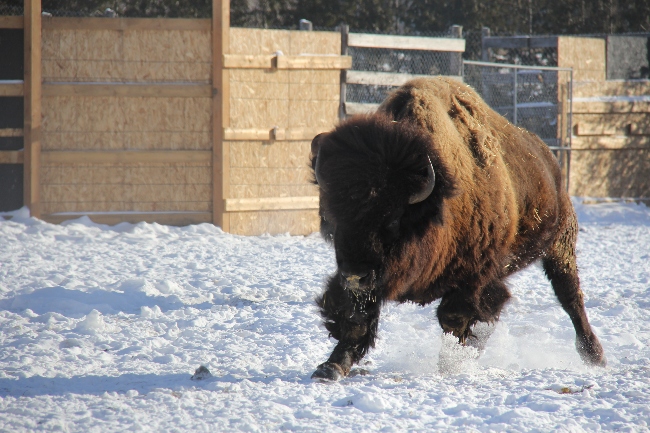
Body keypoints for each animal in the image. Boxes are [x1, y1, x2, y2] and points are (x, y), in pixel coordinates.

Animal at [309, 77, 606, 381]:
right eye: (335, 218)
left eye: (392, 219)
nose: (355, 275)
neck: (433, 204)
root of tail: (549, 160)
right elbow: (354, 317)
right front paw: (331, 367)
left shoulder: (472, 278)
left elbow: (454, 319)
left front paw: (450, 365)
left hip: (560, 246)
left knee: (570, 296)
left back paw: (594, 355)